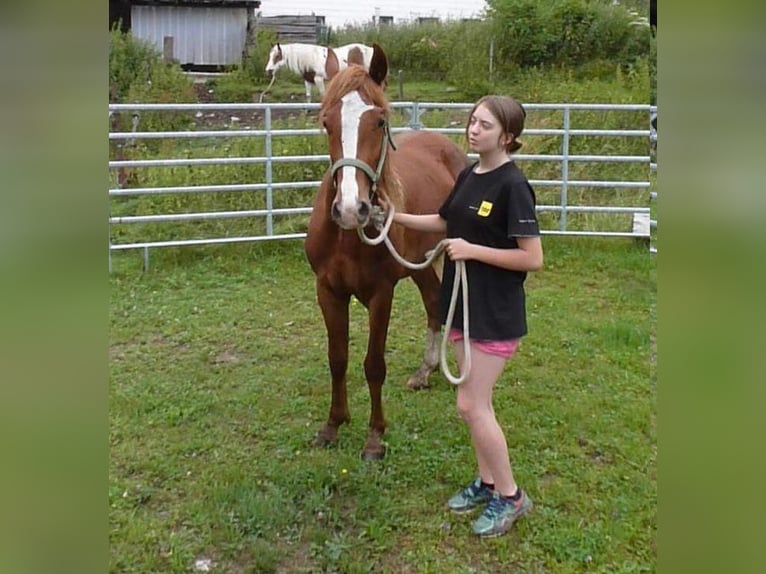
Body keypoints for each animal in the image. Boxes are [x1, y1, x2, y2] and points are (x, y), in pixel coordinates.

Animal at [304, 42, 472, 462]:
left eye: (379, 122)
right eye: (326, 122)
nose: (352, 208)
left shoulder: (382, 293)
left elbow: (373, 364)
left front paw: (375, 437)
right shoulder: (327, 290)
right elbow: (337, 359)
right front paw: (333, 424)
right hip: (419, 263)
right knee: (433, 301)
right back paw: (426, 371)